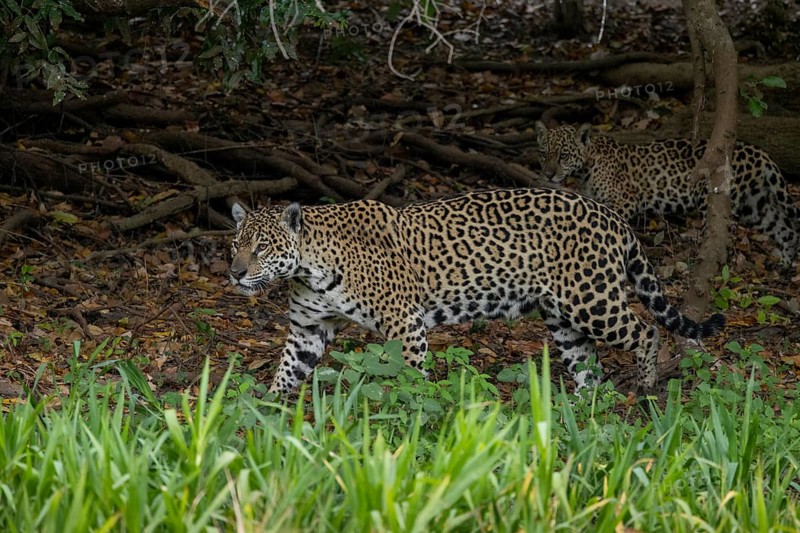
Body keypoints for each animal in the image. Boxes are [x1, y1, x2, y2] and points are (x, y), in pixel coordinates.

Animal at [228, 188, 725, 395]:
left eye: (262, 247)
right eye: (235, 246)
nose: (234, 273)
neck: (309, 265)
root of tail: (613, 216)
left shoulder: (404, 322)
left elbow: (409, 376)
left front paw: (411, 415)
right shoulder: (308, 329)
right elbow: (288, 370)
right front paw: (262, 413)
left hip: (591, 300)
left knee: (646, 331)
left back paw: (645, 387)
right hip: (563, 319)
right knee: (588, 364)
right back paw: (584, 410)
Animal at [534, 121, 800, 270]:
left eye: (563, 156)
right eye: (543, 154)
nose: (547, 174)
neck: (587, 167)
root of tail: (758, 152)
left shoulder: (627, 200)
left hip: (718, 202)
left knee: (725, 235)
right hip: (755, 206)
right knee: (786, 230)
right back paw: (783, 265)